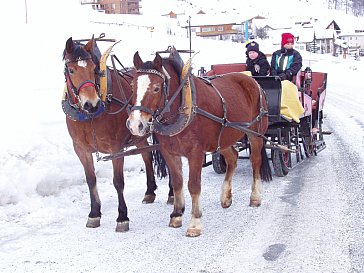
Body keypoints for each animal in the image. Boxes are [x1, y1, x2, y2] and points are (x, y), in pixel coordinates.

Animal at [62, 36, 171, 232]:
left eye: (94, 69)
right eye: (71, 70)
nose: (92, 104)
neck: (90, 116)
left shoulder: (116, 149)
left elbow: (118, 182)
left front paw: (122, 217)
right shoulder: (81, 149)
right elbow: (91, 180)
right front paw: (94, 213)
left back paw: (172, 194)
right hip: (139, 134)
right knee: (147, 157)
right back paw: (150, 191)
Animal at [126, 47, 272, 235]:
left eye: (157, 88)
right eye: (132, 86)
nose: (135, 125)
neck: (183, 106)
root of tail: (253, 81)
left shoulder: (195, 152)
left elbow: (193, 185)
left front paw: (195, 222)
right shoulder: (169, 152)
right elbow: (177, 183)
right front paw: (176, 215)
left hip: (255, 134)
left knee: (255, 161)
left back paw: (255, 197)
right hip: (224, 137)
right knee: (232, 158)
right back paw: (226, 197)